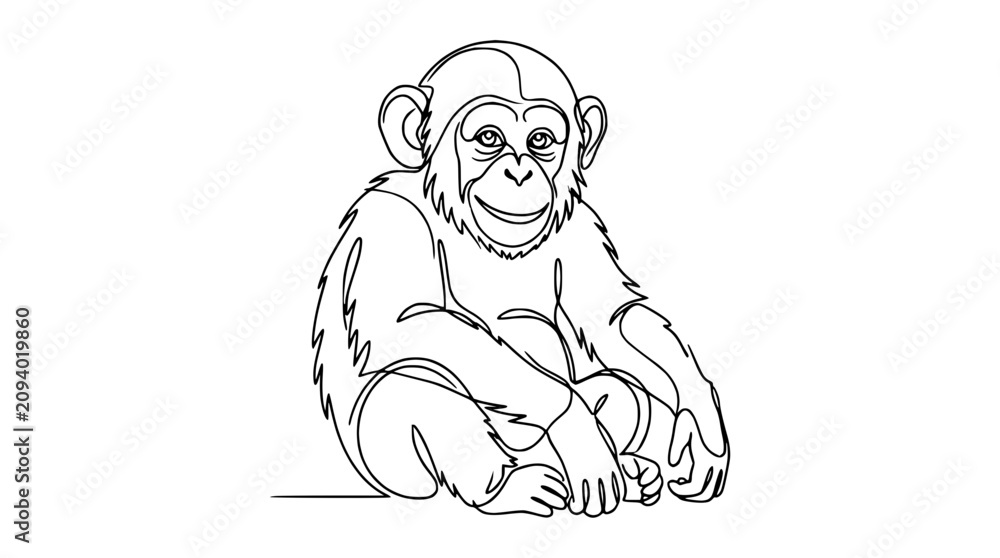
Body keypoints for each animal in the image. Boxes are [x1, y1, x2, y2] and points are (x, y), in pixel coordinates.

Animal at [312, 41, 729, 517]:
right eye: (488, 138)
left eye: (540, 141)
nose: (519, 172)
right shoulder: (389, 217)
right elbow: (408, 323)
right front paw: (579, 432)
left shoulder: (582, 225)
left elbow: (614, 316)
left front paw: (700, 412)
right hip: (392, 465)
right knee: (410, 388)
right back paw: (512, 487)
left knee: (622, 391)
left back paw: (632, 470)